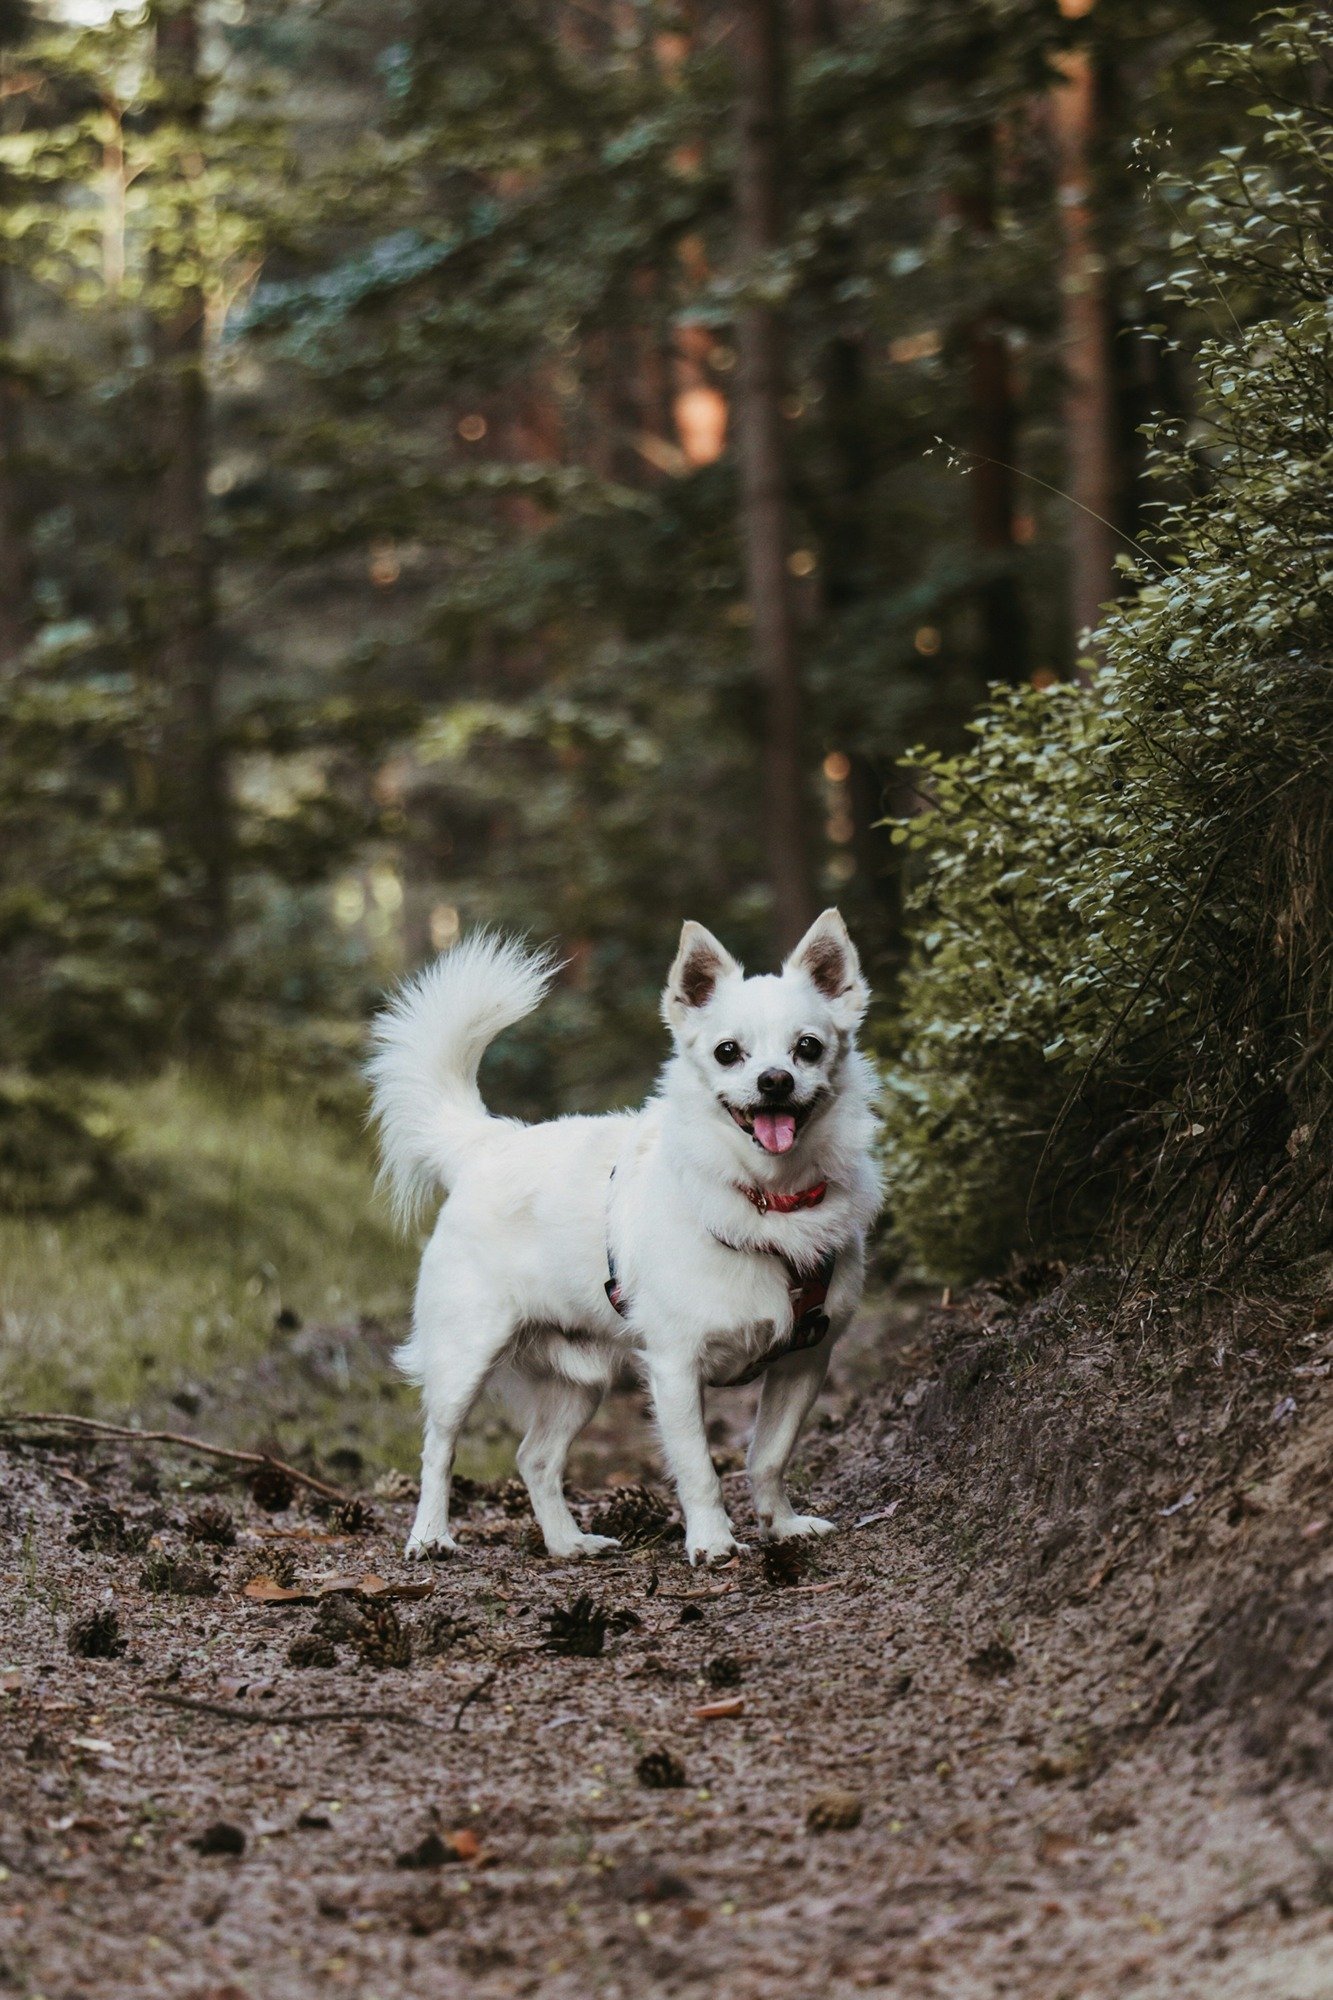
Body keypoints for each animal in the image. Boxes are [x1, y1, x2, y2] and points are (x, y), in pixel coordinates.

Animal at [368, 912, 876, 1560]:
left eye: (807, 1047)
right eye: (728, 1053)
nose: (774, 1080)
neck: (771, 1201)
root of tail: (489, 1143)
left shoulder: (804, 1361)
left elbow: (769, 1455)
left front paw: (780, 1526)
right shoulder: (676, 1367)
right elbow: (699, 1469)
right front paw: (712, 1543)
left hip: (580, 1381)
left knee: (534, 1458)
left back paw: (567, 1543)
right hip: (465, 1356)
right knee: (439, 1448)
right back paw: (430, 1536)